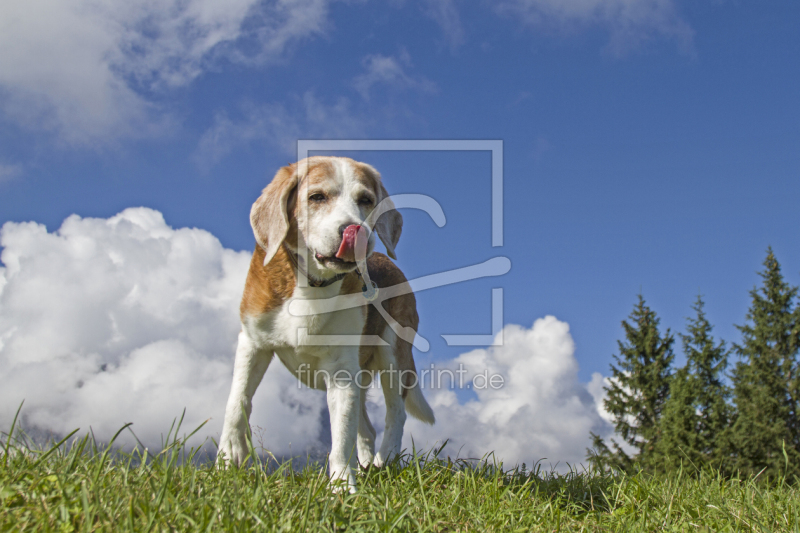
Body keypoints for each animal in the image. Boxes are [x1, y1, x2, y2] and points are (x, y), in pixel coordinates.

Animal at [216, 155, 434, 490]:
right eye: (317, 197)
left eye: (365, 200)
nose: (355, 231)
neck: (312, 283)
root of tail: (388, 260)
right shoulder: (252, 343)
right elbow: (238, 401)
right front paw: (228, 458)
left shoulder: (341, 368)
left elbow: (341, 433)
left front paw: (342, 486)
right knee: (366, 427)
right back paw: (368, 465)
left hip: (393, 355)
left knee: (395, 412)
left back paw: (385, 461)